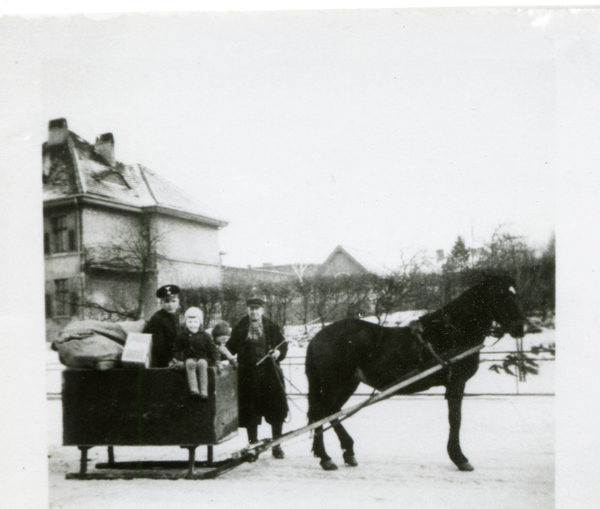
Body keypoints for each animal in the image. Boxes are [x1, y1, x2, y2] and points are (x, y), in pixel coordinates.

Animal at [308, 276, 528, 470]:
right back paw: (326, 458)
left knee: (331, 412)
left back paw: (346, 452)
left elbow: (455, 419)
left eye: (516, 294)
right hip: (334, 383)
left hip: (347, 384)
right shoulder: (456, 383)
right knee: (322, 412)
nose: (520, 327)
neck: (452, 332)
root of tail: (318, 337)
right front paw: (459, 458)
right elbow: (455, 420)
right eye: (502, 295)